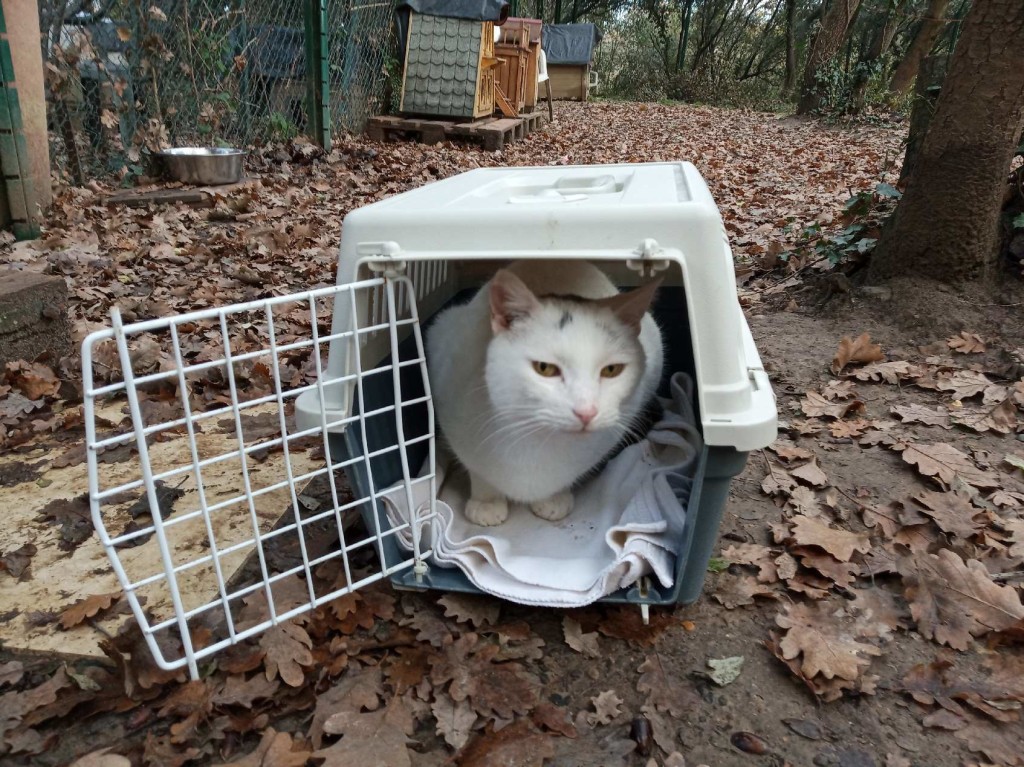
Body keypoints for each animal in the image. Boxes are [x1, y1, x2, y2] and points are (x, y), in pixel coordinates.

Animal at [423, 262, 663, 528]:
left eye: (611, 370)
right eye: (544, 368)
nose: (587, 412)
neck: (538, 439)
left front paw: (554, 499)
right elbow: (477, 469)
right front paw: (486, 502)